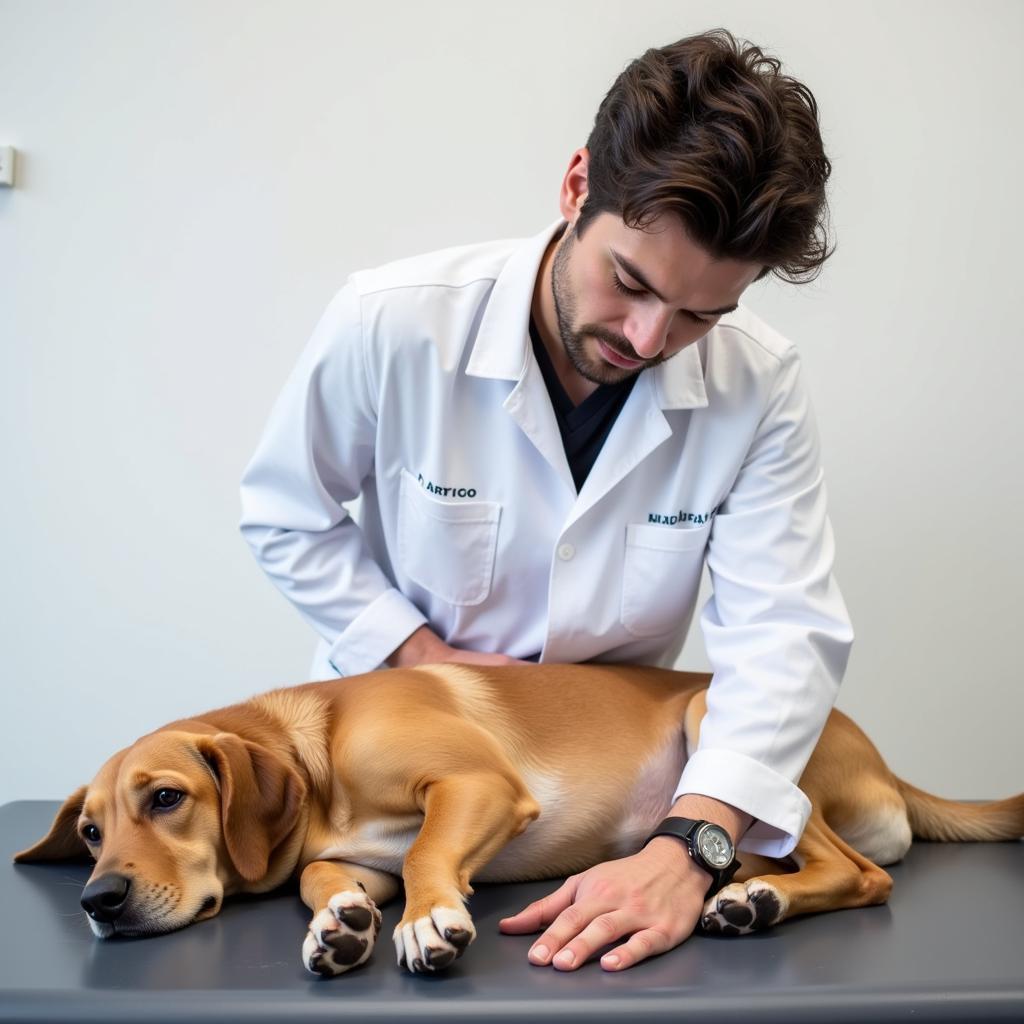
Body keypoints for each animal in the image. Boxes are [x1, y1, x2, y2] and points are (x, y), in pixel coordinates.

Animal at [9, 663, 1024, 974]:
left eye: (166, 799)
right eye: (91, 831)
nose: (98, 900)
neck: (317, 746)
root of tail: (889, 766)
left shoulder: (476, 789)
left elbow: (427, 856)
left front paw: (426, 921)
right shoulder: (352, 853)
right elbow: (324, 876)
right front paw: (341, 923)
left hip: (712, 722)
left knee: (865, 873)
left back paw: (754, 902)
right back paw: (747, 897)